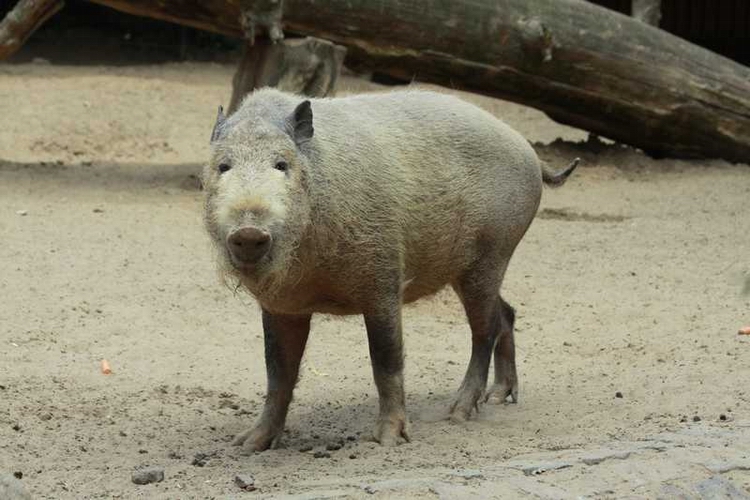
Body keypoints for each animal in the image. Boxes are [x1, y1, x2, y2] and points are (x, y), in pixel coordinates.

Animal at [202, 87, 578, 453]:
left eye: (281, 164)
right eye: (223, 166)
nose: (249, 232)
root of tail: (529, 151)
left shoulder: (383, 280)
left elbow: (386, 358)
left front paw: (387, 441)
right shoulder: (282, 305)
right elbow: (278, 372)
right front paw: (246, 446)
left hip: (492, 254)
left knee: (485, 329)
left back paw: (457, 413)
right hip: (467, 268)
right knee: (507, 313)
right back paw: (499, 397)